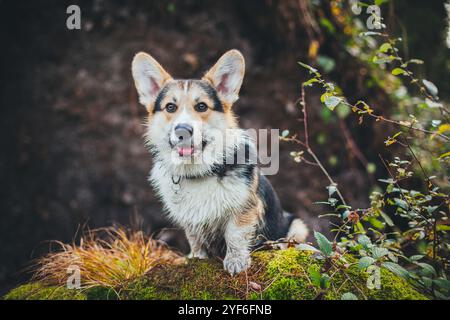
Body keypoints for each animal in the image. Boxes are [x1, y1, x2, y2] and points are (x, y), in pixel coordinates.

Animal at [129, 48, 306, 274]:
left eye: (201, 106)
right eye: (170, 107)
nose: (182, 130)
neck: (199, 172)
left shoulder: (244, 209)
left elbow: (235, 234)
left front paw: (236, 261)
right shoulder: (191, 222)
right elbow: (195, 240)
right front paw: (196, 258)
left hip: (296, 226)